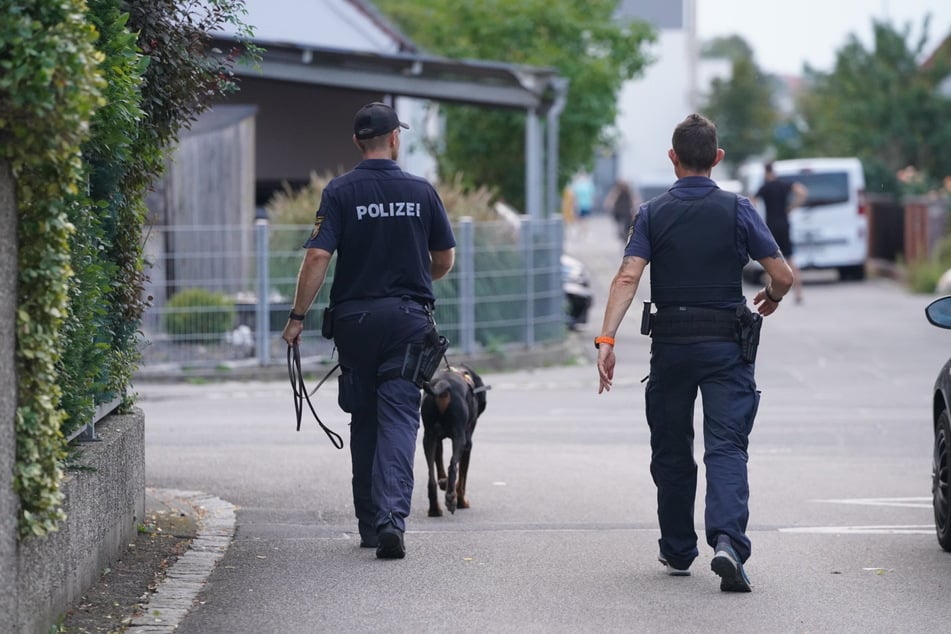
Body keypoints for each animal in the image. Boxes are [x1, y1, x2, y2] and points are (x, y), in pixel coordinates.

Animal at [420, 366, 488, 512]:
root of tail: (444, 384)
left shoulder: (436, 439)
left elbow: (439, 463)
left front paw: (443, 481)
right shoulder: (468, 445)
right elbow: (462, 478)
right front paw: (462, 502)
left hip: (428, 438)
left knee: (431, 478)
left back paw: (434, 509)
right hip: (460, 438)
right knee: (453, 467)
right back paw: (451, 497)